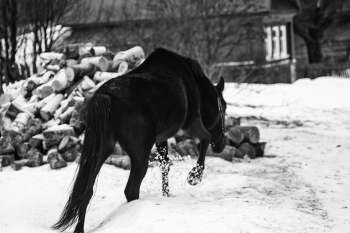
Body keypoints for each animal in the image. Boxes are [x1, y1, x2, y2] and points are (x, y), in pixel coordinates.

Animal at [52, 48, 227, 232]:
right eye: (224, 108)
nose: (221, 145)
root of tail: (106, 95)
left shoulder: (161, 138)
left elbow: (165, 165)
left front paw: (167, 194)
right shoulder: (191, 122)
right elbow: (206, 138)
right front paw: (194, 176)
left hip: (101, 150)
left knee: (87, 190)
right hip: (140, 155)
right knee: (131, 190)